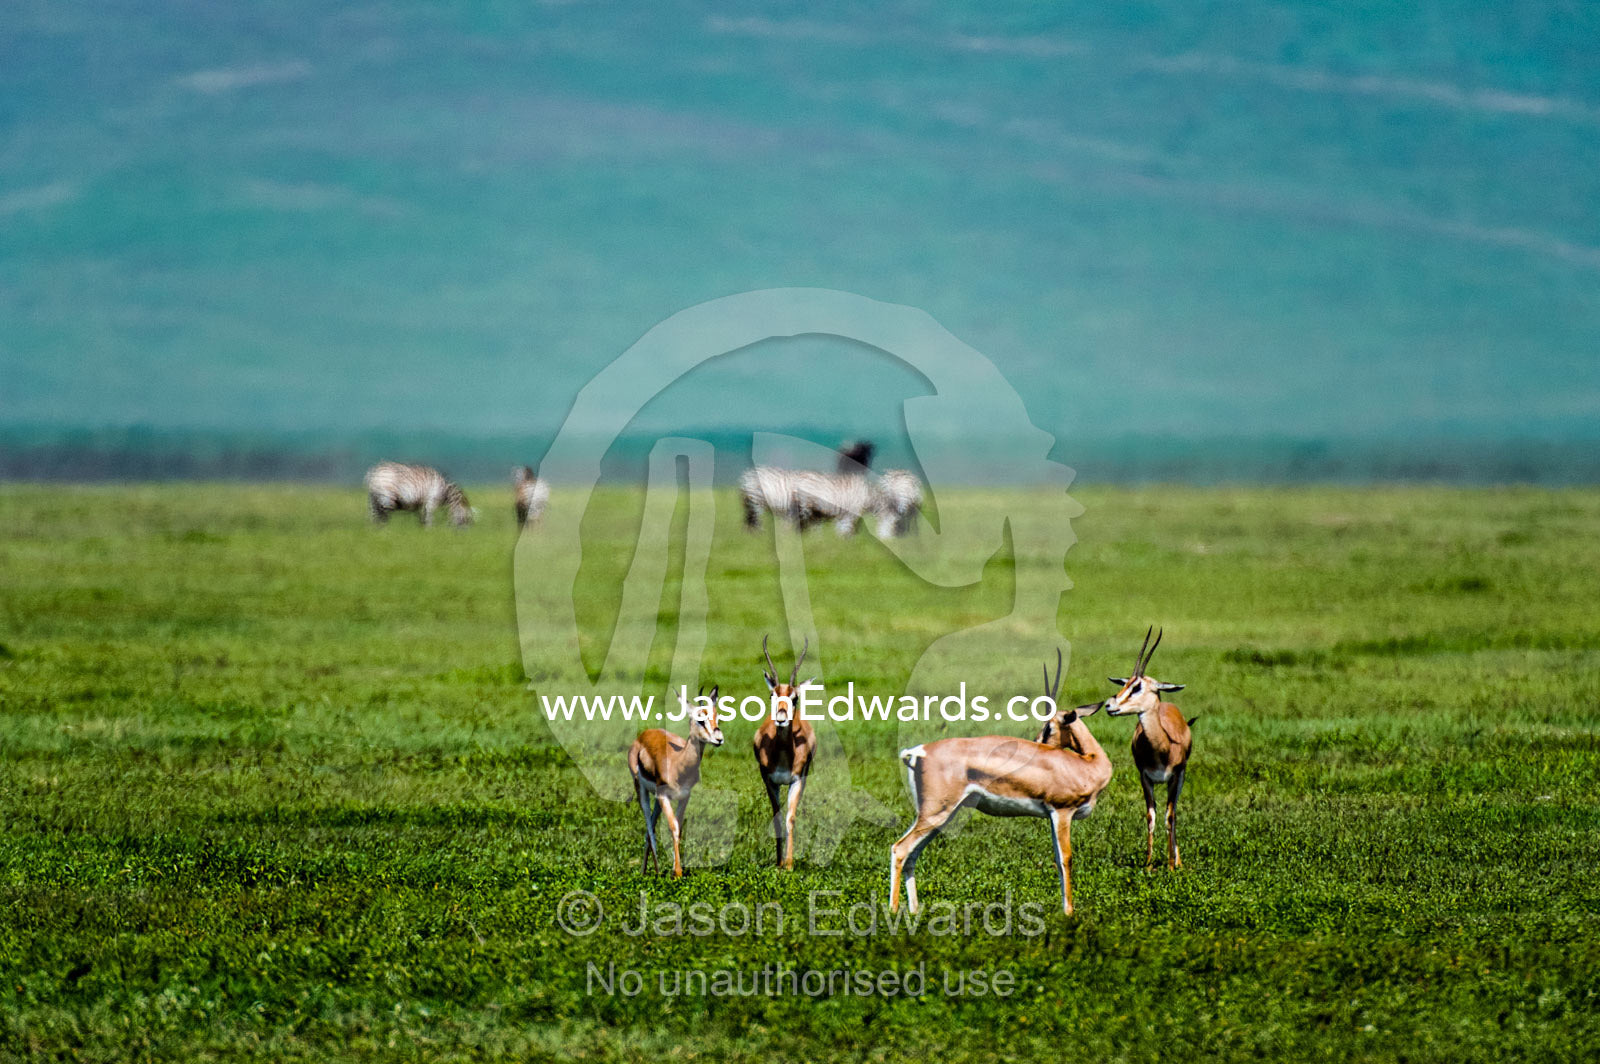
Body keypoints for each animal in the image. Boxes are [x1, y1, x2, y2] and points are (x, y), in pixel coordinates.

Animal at [627, 685, 725, 878]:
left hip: (657, 800)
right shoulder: (664, 796)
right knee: (649, 826)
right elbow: (673, 826)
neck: (678, 763)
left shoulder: (684, 796)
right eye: (700, 719)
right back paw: (652, 872)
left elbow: (679, 828)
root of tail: (645, 734)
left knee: (650, 829)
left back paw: (647, 870)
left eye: (717, 717)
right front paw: (677, 872)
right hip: (642, 790)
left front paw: (675, 869)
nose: (719, 739)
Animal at [753, 636, 817, 869]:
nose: (781, 718)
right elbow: (777, 817)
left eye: (795, 698)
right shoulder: (769, 780)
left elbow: (790, 817)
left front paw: (788, 864)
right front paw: (779, 863)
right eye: (772, 695)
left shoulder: (797, 780)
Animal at [890, 651, 1113, 916]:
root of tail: (919, 751)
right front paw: (1069, 912)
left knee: (912, 854)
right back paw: (892, 911)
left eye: (1048, 727)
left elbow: (1058, 859)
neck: (1087, 764)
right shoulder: (1062, 812)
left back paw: (914, 910)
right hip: (936, 814)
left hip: (939, 816)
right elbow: (1066, 858)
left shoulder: (1052, 816)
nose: (1037, 743)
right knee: (900, 849)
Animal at [1102, 628, 1196, 870]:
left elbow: (1170, 816)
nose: (1109, 705)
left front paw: (1172, 866)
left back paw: (1177, 860)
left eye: (1137, 687)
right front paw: (1148, 863)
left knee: (1174, 814)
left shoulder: (1175, 777)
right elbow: (1150, 817)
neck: (1161, 747)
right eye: (1124, 684)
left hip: (1181, 779)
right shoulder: (1145, 777)